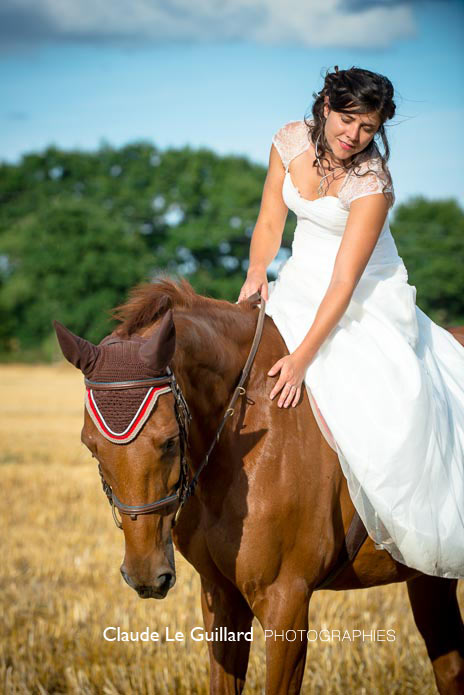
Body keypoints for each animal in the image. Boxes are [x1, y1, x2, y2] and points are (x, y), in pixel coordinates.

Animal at [54, 276, 464, 695]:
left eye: (168, 441)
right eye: (91, 446)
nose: (145, 576)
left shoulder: (286, 601)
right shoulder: (221, 596)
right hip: (431, 574)